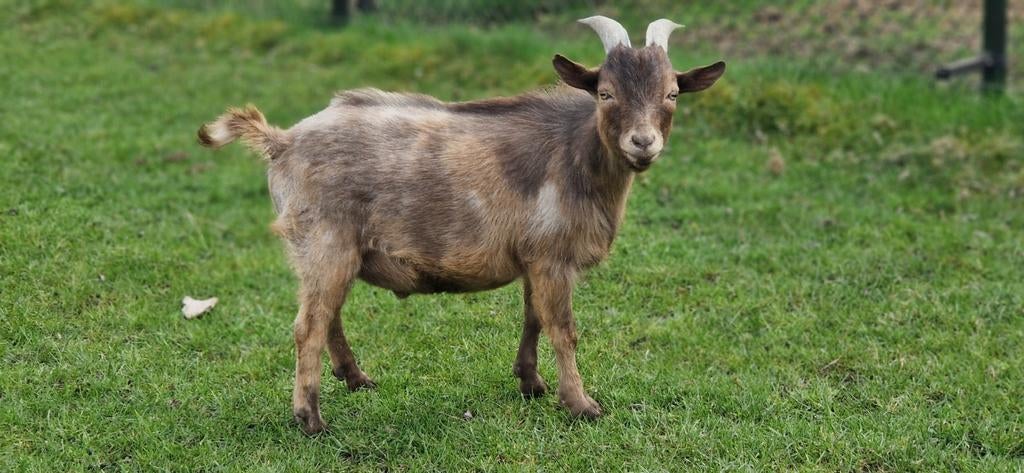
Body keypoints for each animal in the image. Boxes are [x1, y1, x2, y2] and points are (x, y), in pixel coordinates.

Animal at [198, 16, 724, 434]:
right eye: (605, 92)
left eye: (672, 94)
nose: (643, 142)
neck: (576, 153)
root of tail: (281, 141)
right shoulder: (553, 256)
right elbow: (563, 328)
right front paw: (581, 404)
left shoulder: (533, 257)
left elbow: (533, 317)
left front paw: (530, 383)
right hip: (324, 240)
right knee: (308, 326)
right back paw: (310, 419)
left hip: (325, 251)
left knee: (328, 315)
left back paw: (356, 379)